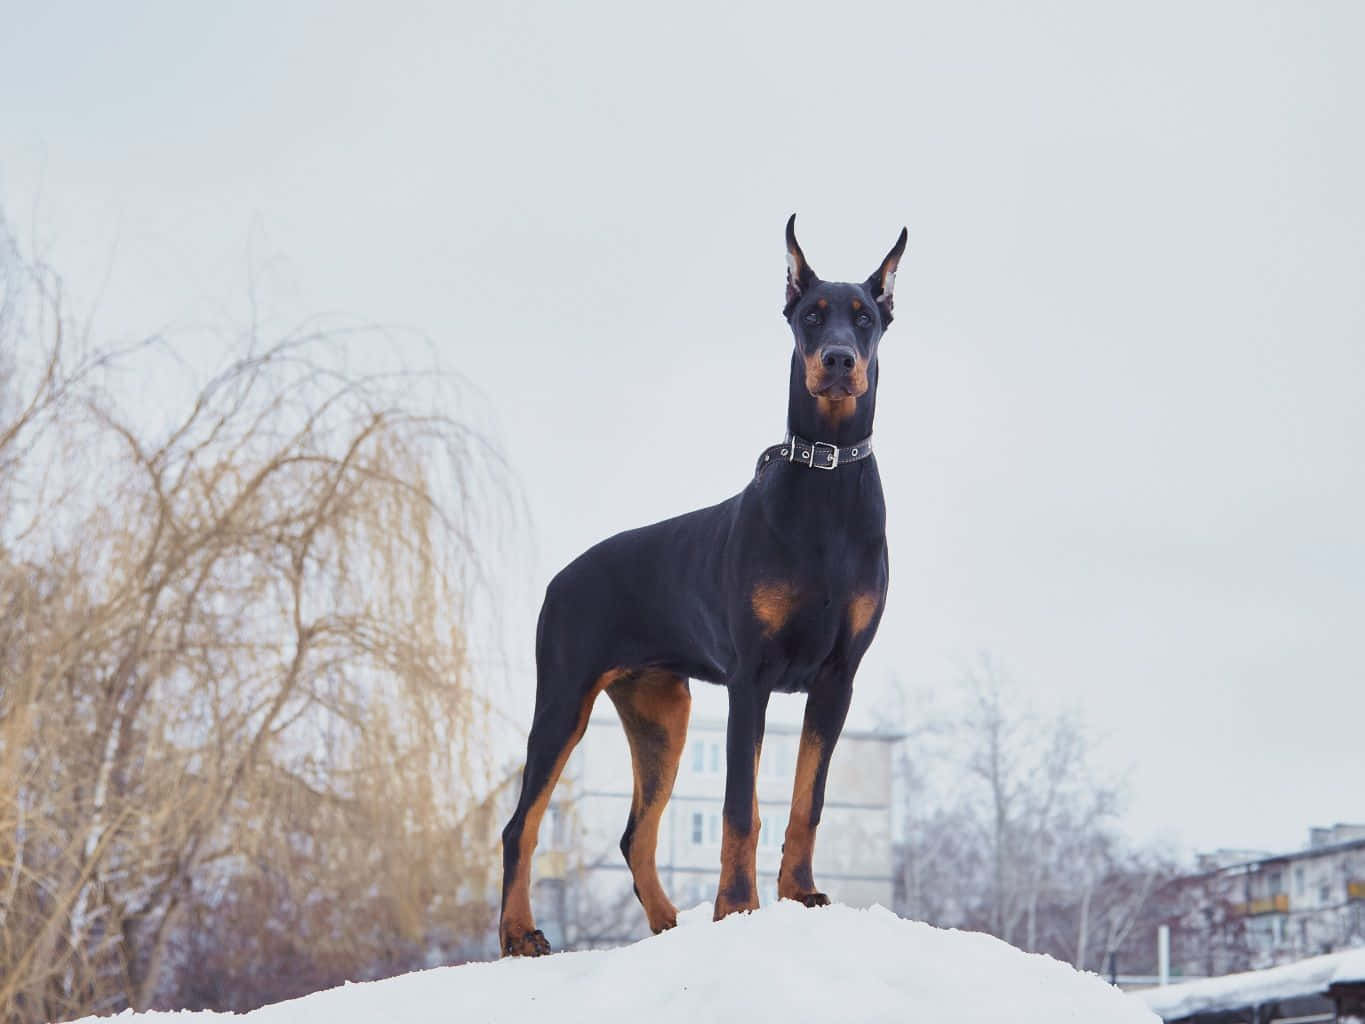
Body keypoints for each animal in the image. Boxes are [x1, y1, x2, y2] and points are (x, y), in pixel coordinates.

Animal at [502, 218, 906, 961]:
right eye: (811, 316)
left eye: (864, 317)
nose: (838, 360)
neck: (828, 480)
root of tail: (561, 577)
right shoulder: (751, 677)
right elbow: (739, 807)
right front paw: (737, 907)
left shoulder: (837, 677)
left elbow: (807, 801)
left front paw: (799, 893)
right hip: (564, 700)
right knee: (522, 824)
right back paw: (518, 933)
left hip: (662, 712)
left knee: (635, 834)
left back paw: (667, 928)